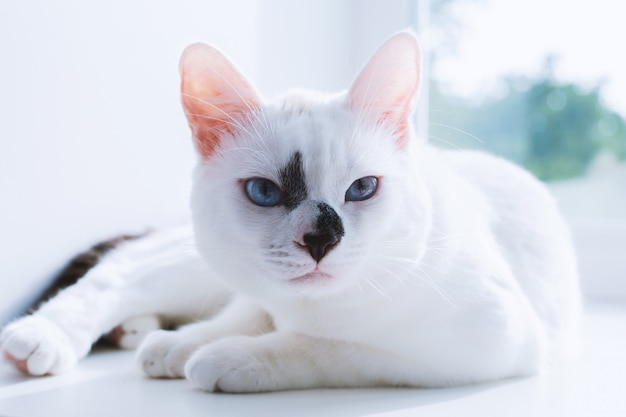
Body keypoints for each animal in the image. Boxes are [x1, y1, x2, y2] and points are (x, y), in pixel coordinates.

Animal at [0, 31, 576, 390]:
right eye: (264, 192)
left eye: (363, 188)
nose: (321, 241)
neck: (311, 306)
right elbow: (257, 315)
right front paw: (190, 346)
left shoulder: (484, 343)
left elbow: (323, 346)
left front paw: (213, 355)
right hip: (192, 264)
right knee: (117, 273)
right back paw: (42, 340)